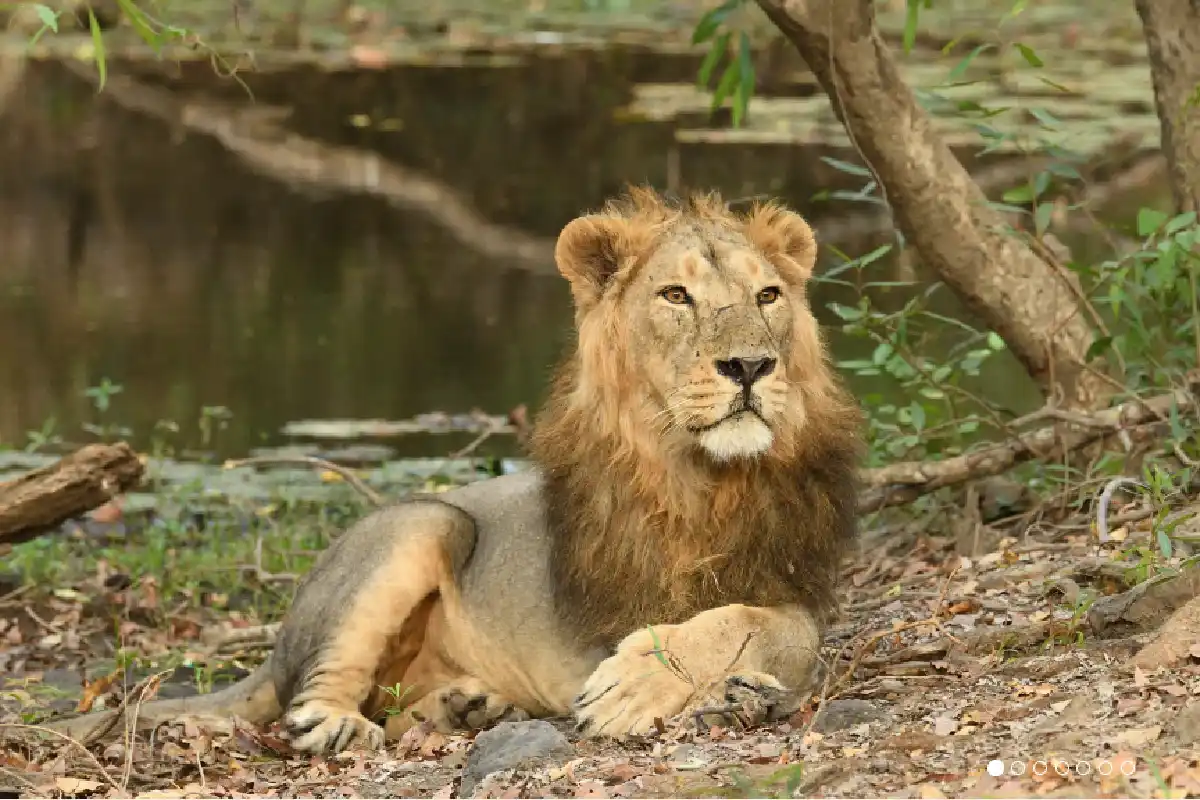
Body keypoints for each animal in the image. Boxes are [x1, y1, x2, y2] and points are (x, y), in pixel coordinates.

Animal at [45, 186, 863, 754]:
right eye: (675, 295)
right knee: (313, 697)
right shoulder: (612, 608)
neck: (708, 476)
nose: (751, 366)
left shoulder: (791, 584)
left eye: (768, 294)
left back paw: (467, 706)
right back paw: (344, 724)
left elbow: (763, 625)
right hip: (422, 523)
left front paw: (719, 689)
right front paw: (638, 687)